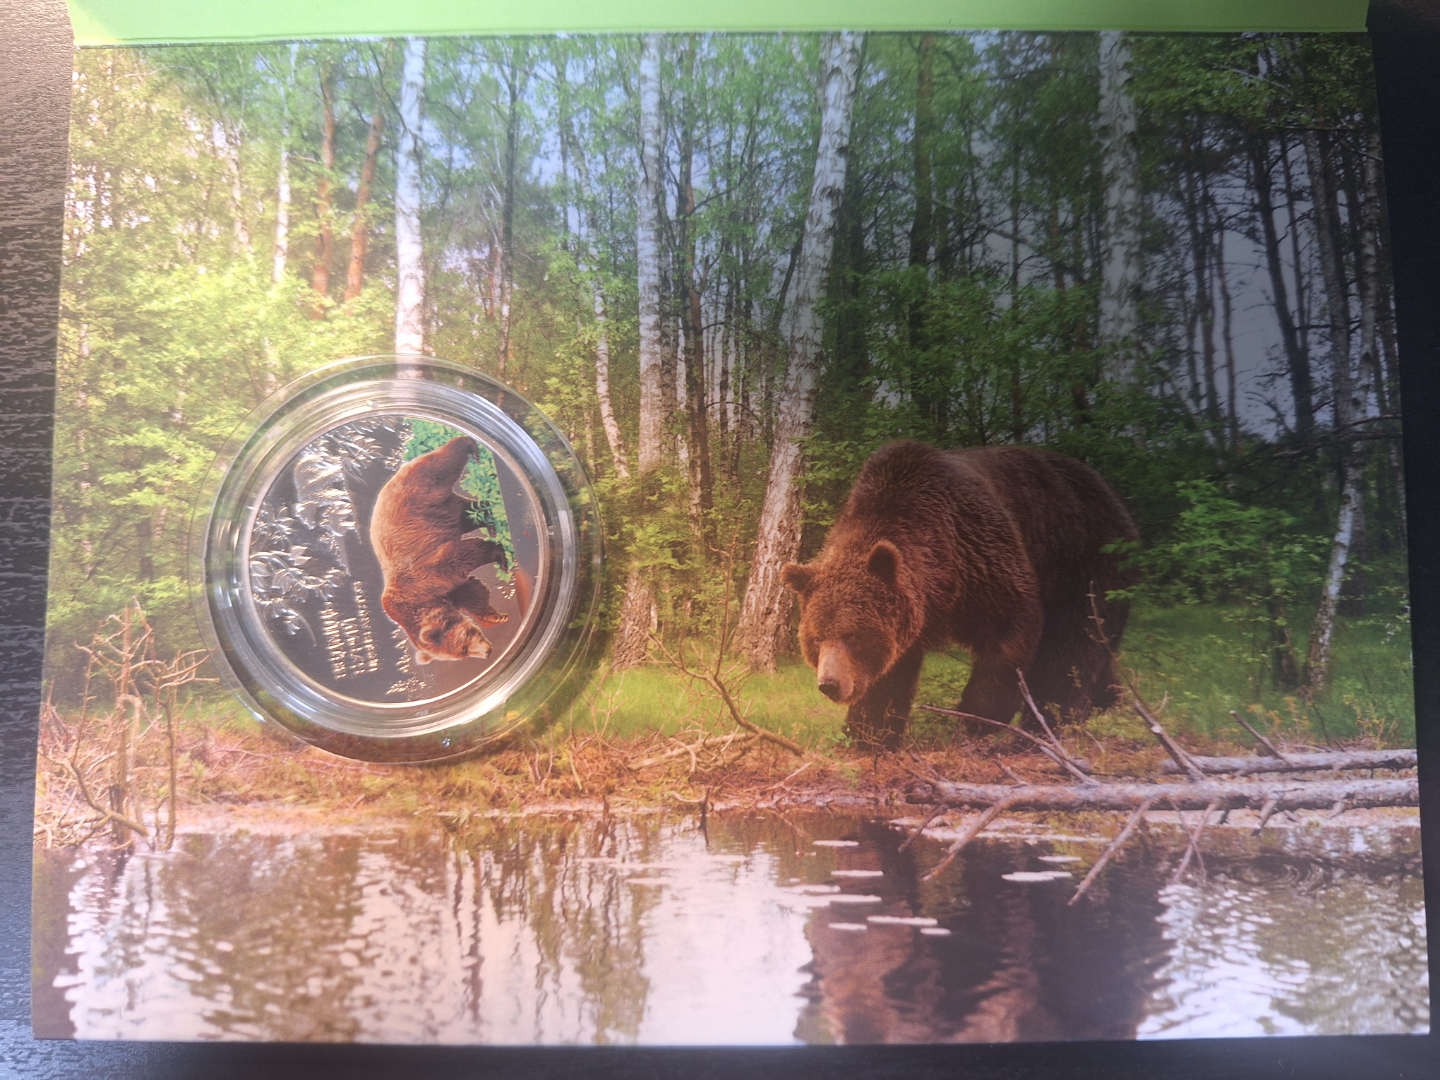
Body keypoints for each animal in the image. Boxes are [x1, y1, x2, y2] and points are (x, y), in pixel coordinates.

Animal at [370, 435, 513, 664]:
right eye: (461, 654)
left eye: (463, 647)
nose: (487, 653)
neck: (422, 602)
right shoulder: (447, 591)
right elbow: (473, 592)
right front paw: (496, 616)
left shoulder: (426, 572)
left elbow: (464, 555)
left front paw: (500, 557)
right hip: (442, 512)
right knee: (471, 512)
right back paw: (490, 522)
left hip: (422, 490)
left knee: (444, 462)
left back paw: (470, 446)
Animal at [782, 440, 1138, 749]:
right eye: (816, 639)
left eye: (852, 636)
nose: (830, 683)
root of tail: (1108, 489)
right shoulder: (908, 618)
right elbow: (889, 677)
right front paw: (867, 734)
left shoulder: (982, 556)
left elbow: (1009, 636)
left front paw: (975, 720)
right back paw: (1109, 702)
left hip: (1085, 560)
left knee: (1072, 644)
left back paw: (1045, 724)